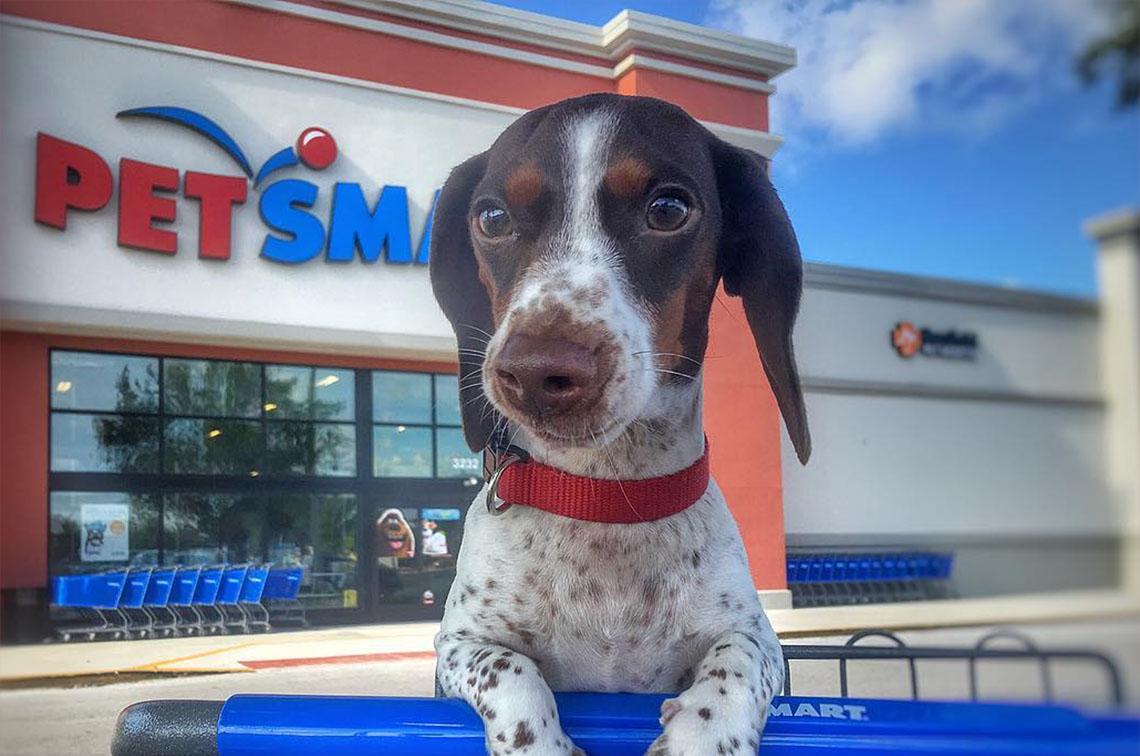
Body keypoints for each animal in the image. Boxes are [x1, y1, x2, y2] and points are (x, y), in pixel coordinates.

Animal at [428, 91, 811, 752]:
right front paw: (542, 743)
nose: (535, 373)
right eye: (492, 218)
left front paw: (701, 734)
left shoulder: (762, 641)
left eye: (668, 208)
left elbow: (737, 660)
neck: (602, 496)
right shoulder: (457, 647)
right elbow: (511, 670)